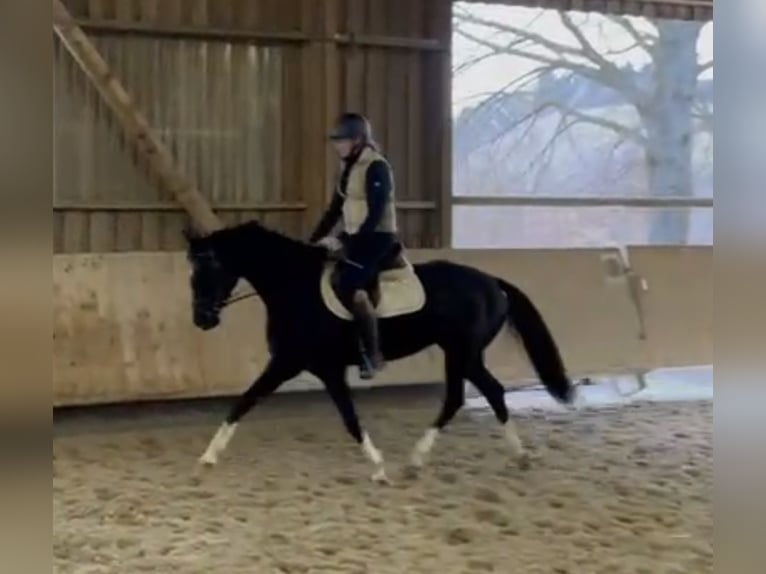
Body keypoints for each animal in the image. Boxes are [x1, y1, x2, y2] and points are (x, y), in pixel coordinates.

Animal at [189, 223, 580, 484]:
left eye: (208, 269)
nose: (202, 320)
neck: (295, 287)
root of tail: (492, 282)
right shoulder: (308, 366)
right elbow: (248, 403)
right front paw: (208, 457)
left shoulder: (302, 364)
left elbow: (341, 417)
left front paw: (378, 468)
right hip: (463, 354)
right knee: (479, 394)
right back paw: (501, 456)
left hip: (461, 352)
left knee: (471, 395)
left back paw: (431, 458)